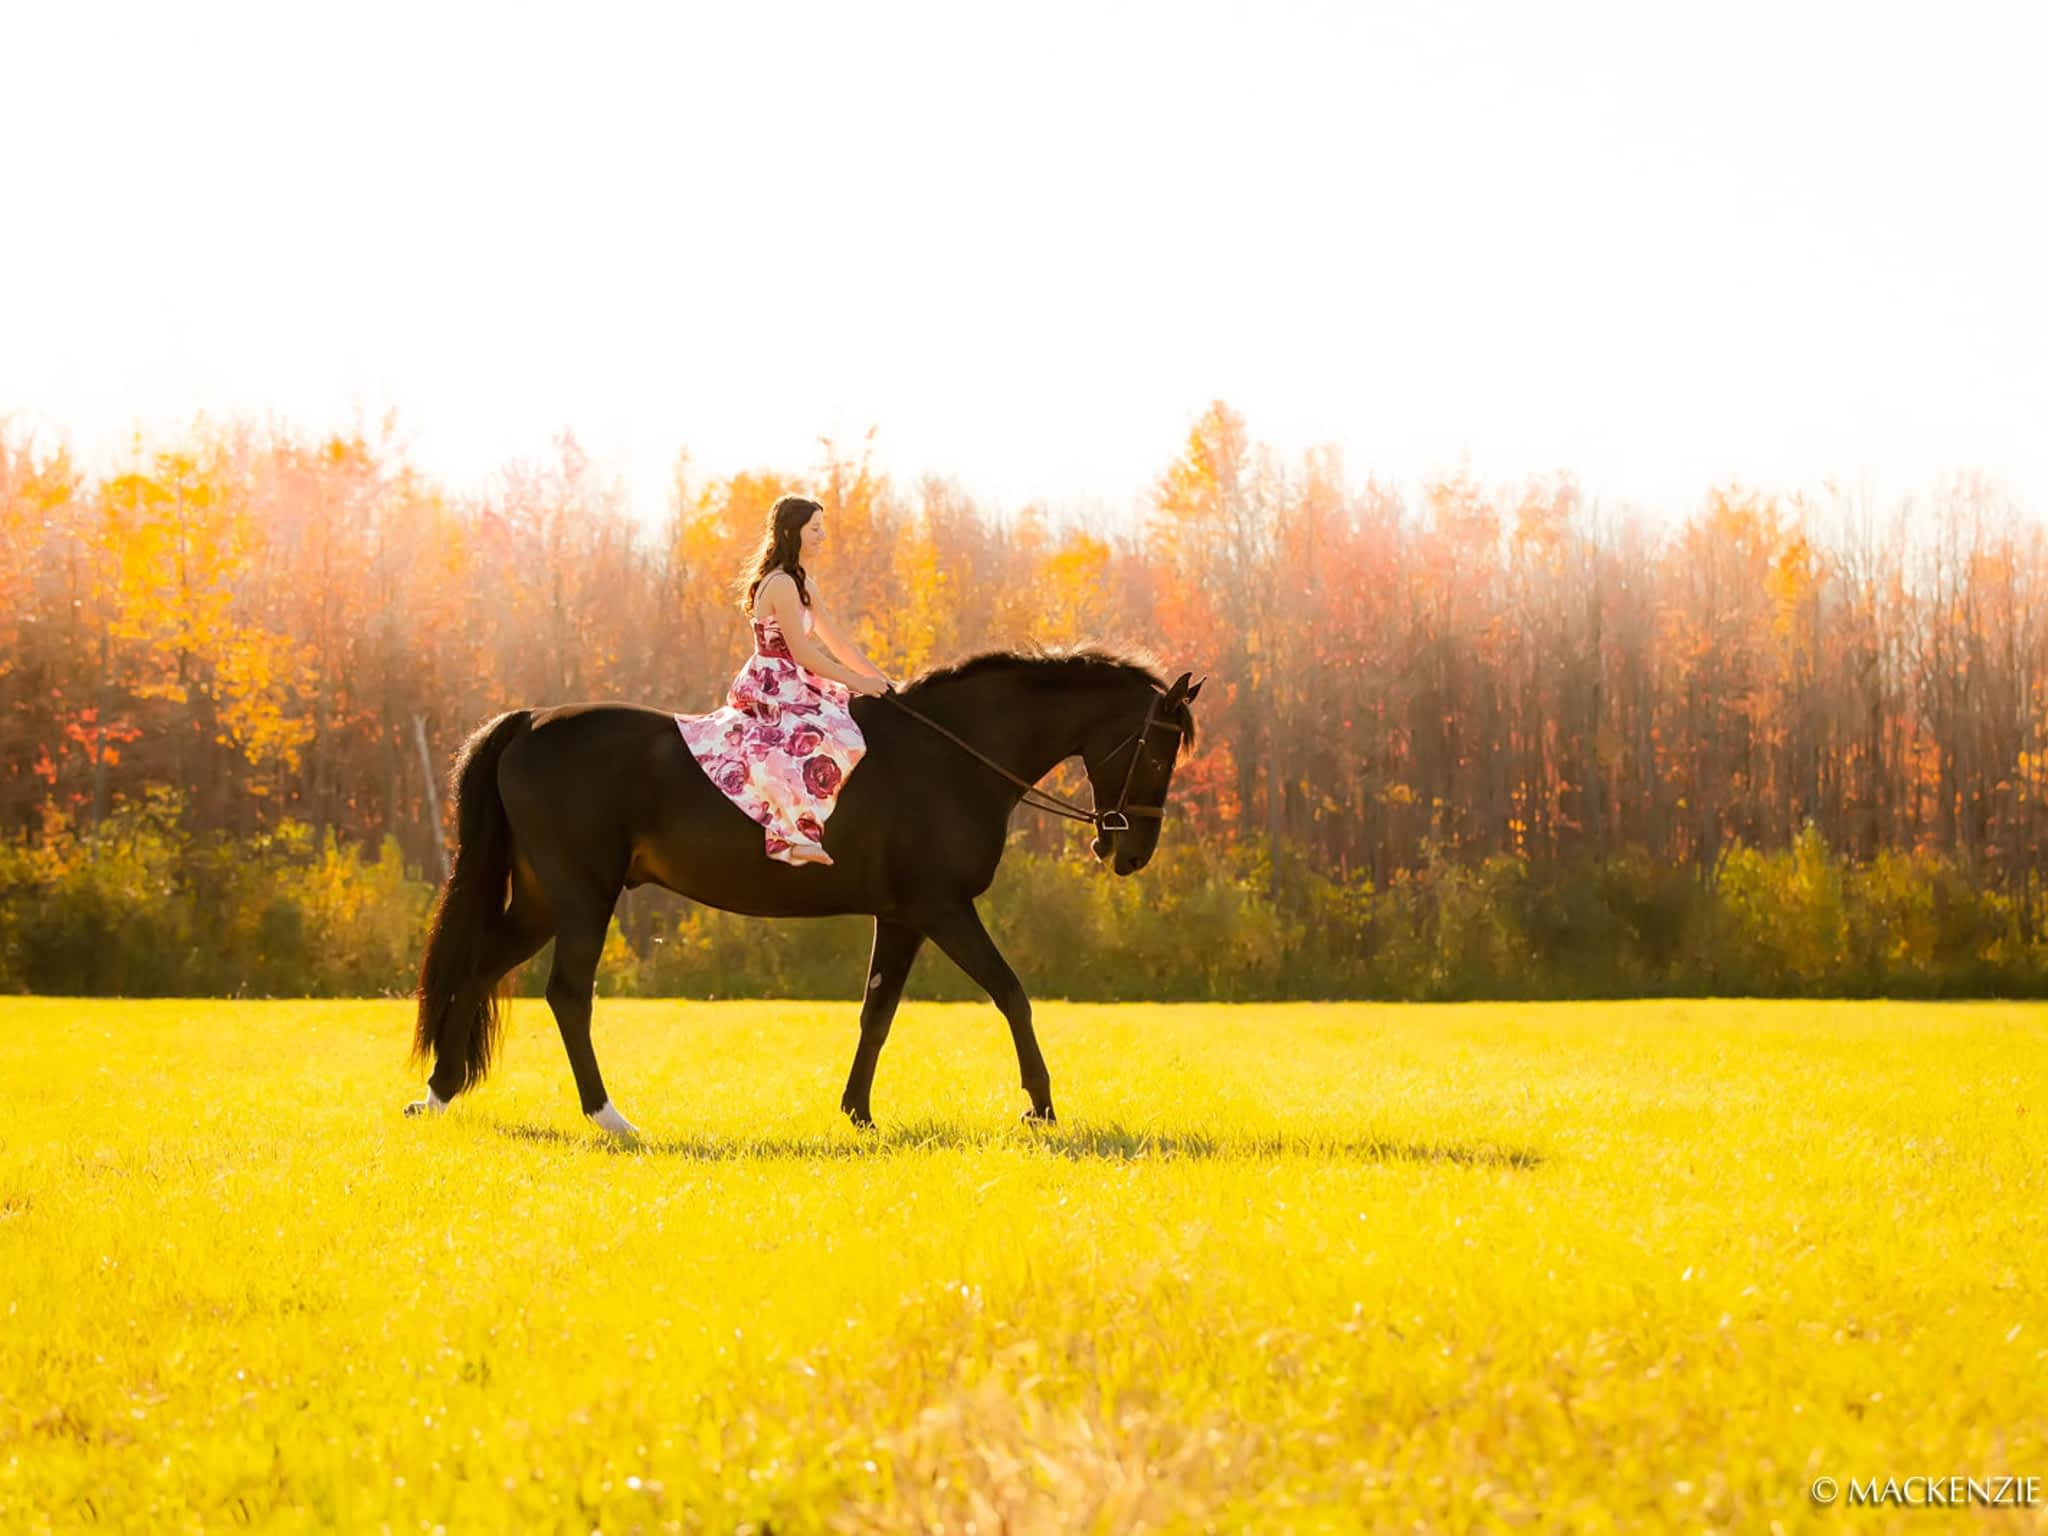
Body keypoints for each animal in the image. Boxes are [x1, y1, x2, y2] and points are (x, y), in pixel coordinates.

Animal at [405, 643, 1196, 1138]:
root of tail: (531, 721)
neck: (951, 756)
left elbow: (877, 1013)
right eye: (1159, 751)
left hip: (545, 901)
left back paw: (439, 1094)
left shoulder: (902, 917)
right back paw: (608, 1116)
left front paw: (857, 1112)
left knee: (479, 970)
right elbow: (1010, 992)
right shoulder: (942, 908)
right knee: (568, 995)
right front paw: (1041, 1106)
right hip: (581, 900)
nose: (1129, 851)